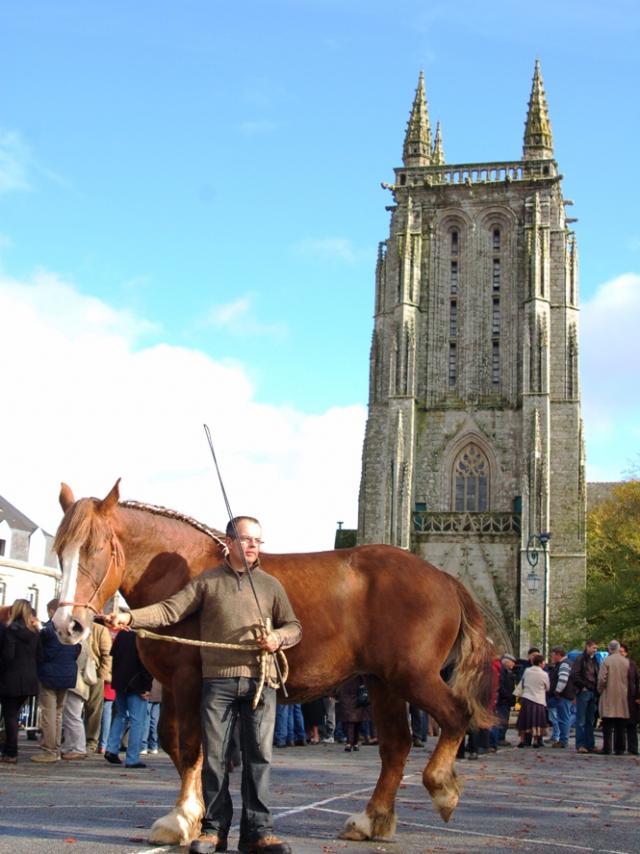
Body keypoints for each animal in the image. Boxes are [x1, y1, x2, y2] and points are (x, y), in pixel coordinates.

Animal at [52, 482, 492, 848]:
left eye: (96, 548)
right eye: (60, 551)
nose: (66, 624)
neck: (180, 568)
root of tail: (444, 578)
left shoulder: (190, 680)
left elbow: (192, 745)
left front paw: (182, 819)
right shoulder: (172, 686)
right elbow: (174, 742)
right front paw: (193, 817)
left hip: (411, 677)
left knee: (456, 715)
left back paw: (441, 788)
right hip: (383, 683)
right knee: (397, 745)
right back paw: (372, 821)